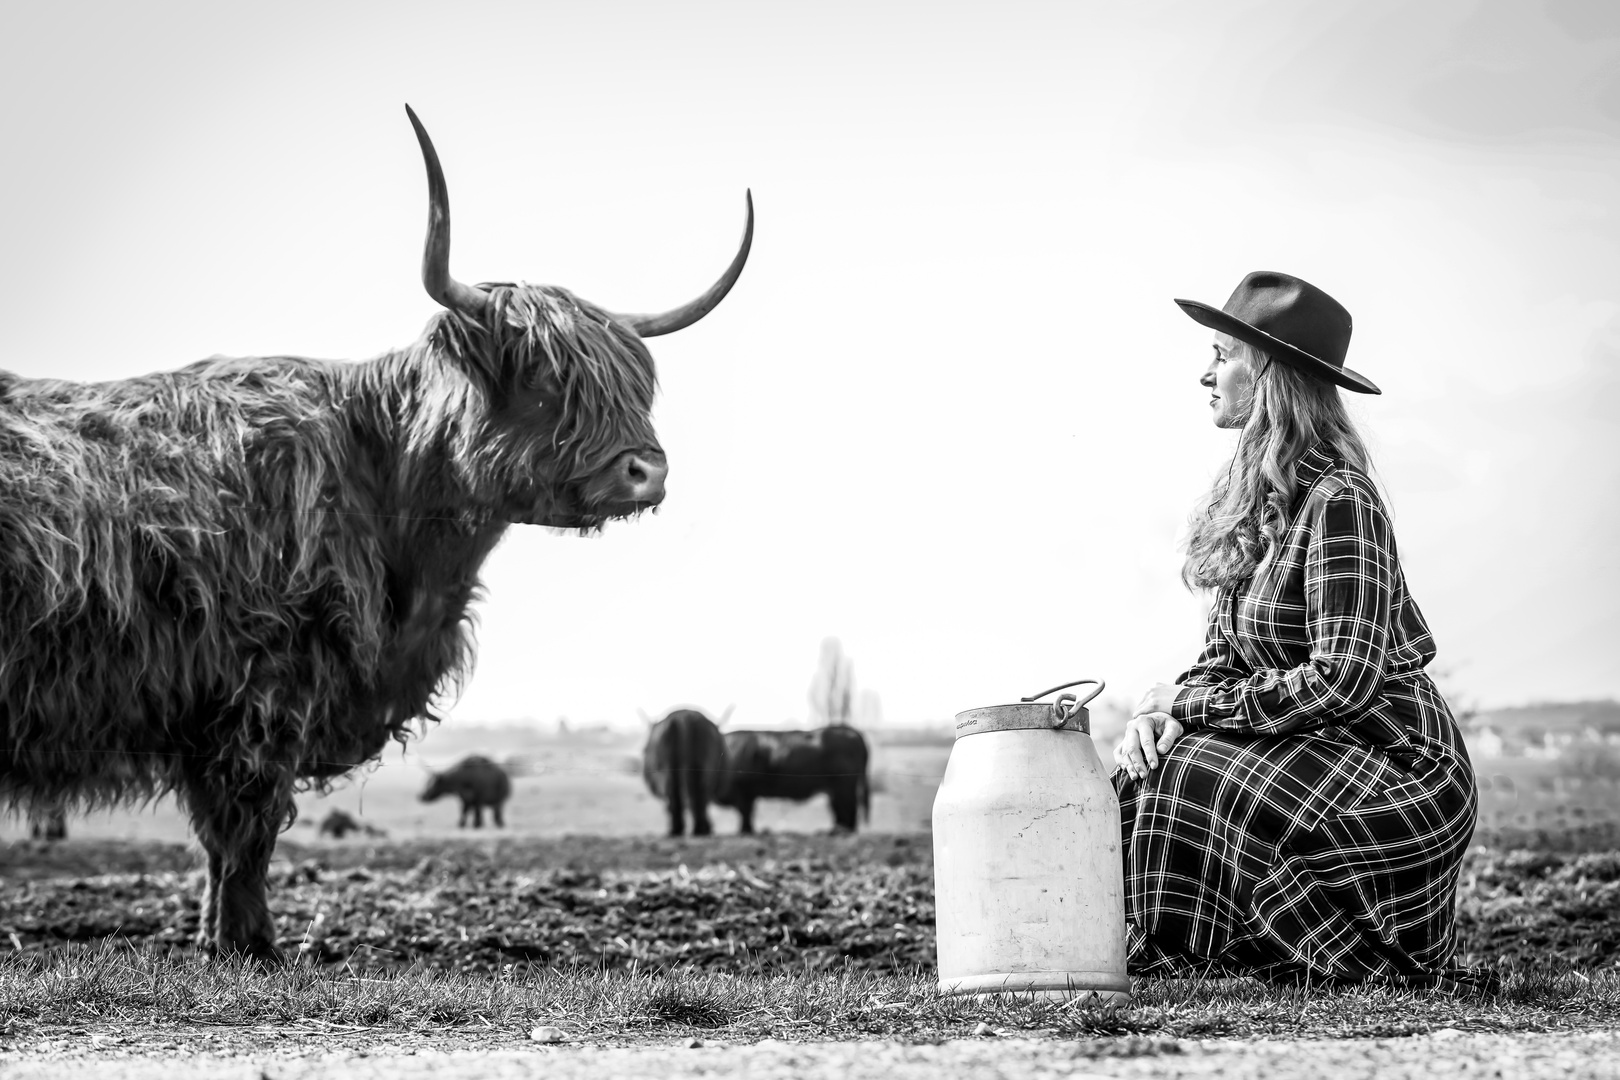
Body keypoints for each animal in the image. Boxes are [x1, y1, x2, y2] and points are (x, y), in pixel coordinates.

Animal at [0, 103, 751, 965]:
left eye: (636, 386)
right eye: (543, 379)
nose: (647, 470)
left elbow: (224, 844)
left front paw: (220, 941)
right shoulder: (263, 692)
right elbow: (243, 834)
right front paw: (252, 948)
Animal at [722, 725, 874, 835]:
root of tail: (850, 731)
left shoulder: (742, 791)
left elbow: (745, 814)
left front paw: (744, 831)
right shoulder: (748, 794)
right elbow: (748, 814)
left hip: (845, 788)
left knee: (850, 811)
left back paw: (842, 832)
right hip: (836, 790)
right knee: (840, 811)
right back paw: (834, 830)